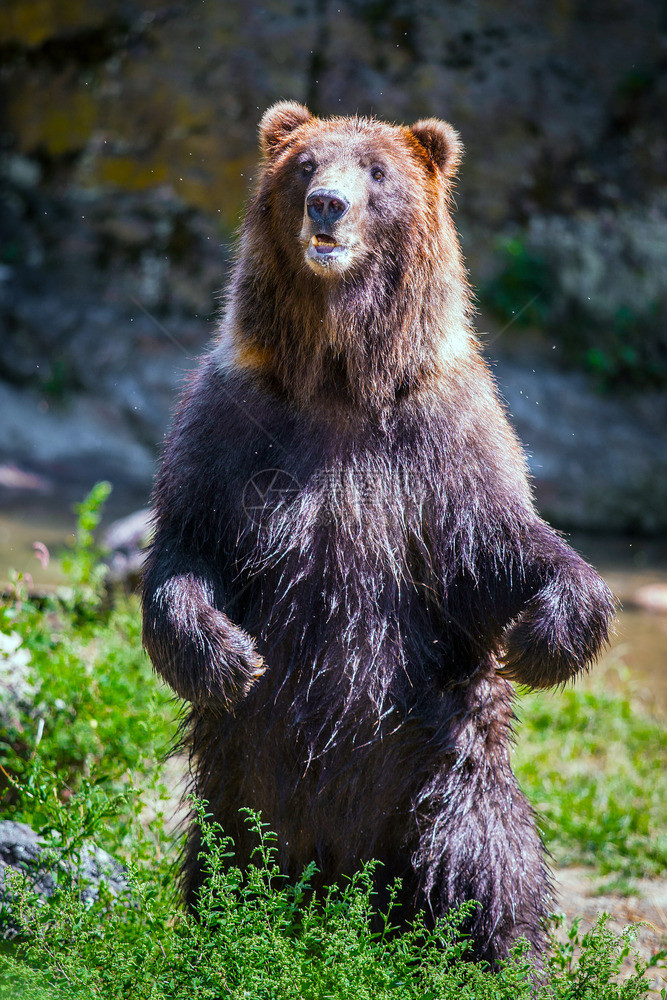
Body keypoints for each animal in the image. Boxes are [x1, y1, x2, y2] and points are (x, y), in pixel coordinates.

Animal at [144, 103, 620, 968]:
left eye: (376, 170)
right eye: (304, 165)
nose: (326, 205)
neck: (339, 380)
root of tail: (342, 890)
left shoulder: (443, 437)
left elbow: (499, 545)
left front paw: (545, 633)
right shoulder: (230, 422)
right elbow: (188, 546)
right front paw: (228, 656)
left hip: (439, 769)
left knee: (483, 858)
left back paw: (501, 954)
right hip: (243, 779)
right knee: (227, 856)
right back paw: (227, 932)